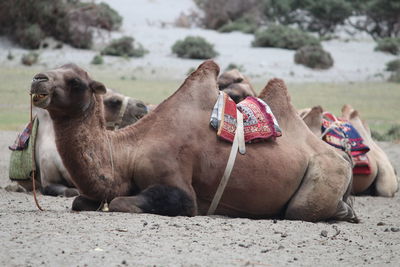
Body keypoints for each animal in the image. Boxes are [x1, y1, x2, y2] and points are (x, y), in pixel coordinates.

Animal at [29, 61, 358, 223]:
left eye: (76, 82)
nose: (37, 78)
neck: (129, 152)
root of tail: (344, 156)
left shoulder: (180, 188)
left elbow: (123, 202)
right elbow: (79, 201)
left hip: (326, 172)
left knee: (299, 211)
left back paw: (345, 213)